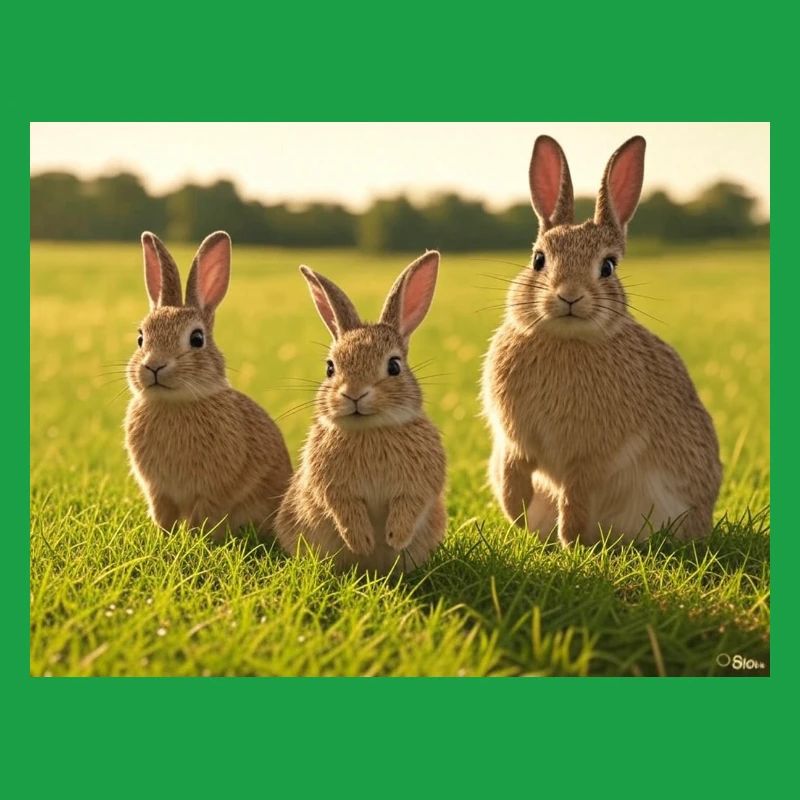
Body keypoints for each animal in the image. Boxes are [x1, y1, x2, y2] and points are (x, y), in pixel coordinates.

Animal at [124, 231, 292, 541]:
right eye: (141, 338)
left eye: (197, 339)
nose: (154, 366)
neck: (174, 403)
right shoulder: (158, 491)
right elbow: (163, 516)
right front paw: (163, 538)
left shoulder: (212, 491)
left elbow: (201, 517)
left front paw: (192, 541)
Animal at [274, 251, 447, 574]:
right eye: (330, 368)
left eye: (394, 366)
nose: (354, 394)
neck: (371, 429)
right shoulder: (333, 488)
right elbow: (344, 509)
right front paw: (363, 542)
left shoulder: (418, 484)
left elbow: (410, 504)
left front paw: (394, 537)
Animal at [481, 135, 722, 546]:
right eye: (538, 260)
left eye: (608, 266)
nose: (569, 296)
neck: (565, 340)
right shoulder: (514, 441)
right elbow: (515, 471)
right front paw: (517, 513)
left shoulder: (592, 457)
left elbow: (576, 495)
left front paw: (570, 540)